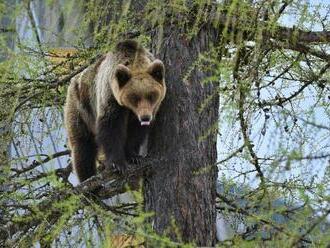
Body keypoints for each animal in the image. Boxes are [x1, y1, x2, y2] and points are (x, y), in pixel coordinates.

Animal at [64, 39, 166, 181]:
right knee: (83, 146)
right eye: (135, 97)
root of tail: (73, 80)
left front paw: (134, 156)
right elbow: (111, 127)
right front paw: (118, 164)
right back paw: (88, 177)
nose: (145, 117)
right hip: (80, 109)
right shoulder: (110, 97)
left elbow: (136, 132)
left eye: (151, 95)